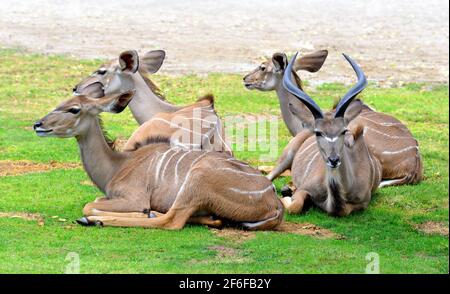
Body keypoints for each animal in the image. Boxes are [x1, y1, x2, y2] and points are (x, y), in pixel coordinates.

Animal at [33, 92, 284, 230]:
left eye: (74, 109)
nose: (38, 124)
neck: (118, 165)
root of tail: (275, 202)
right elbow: (94, 200)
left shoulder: (134, 198)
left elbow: (89, 204)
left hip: (197, 180)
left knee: (171, 221)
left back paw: (98, 220)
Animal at [282, 54, 380, 217]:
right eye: (318, 132)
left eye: (344, 131)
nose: (333, 160)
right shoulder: (305, 188)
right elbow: (294, 207)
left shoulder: (364, 202)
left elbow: (343, 210)